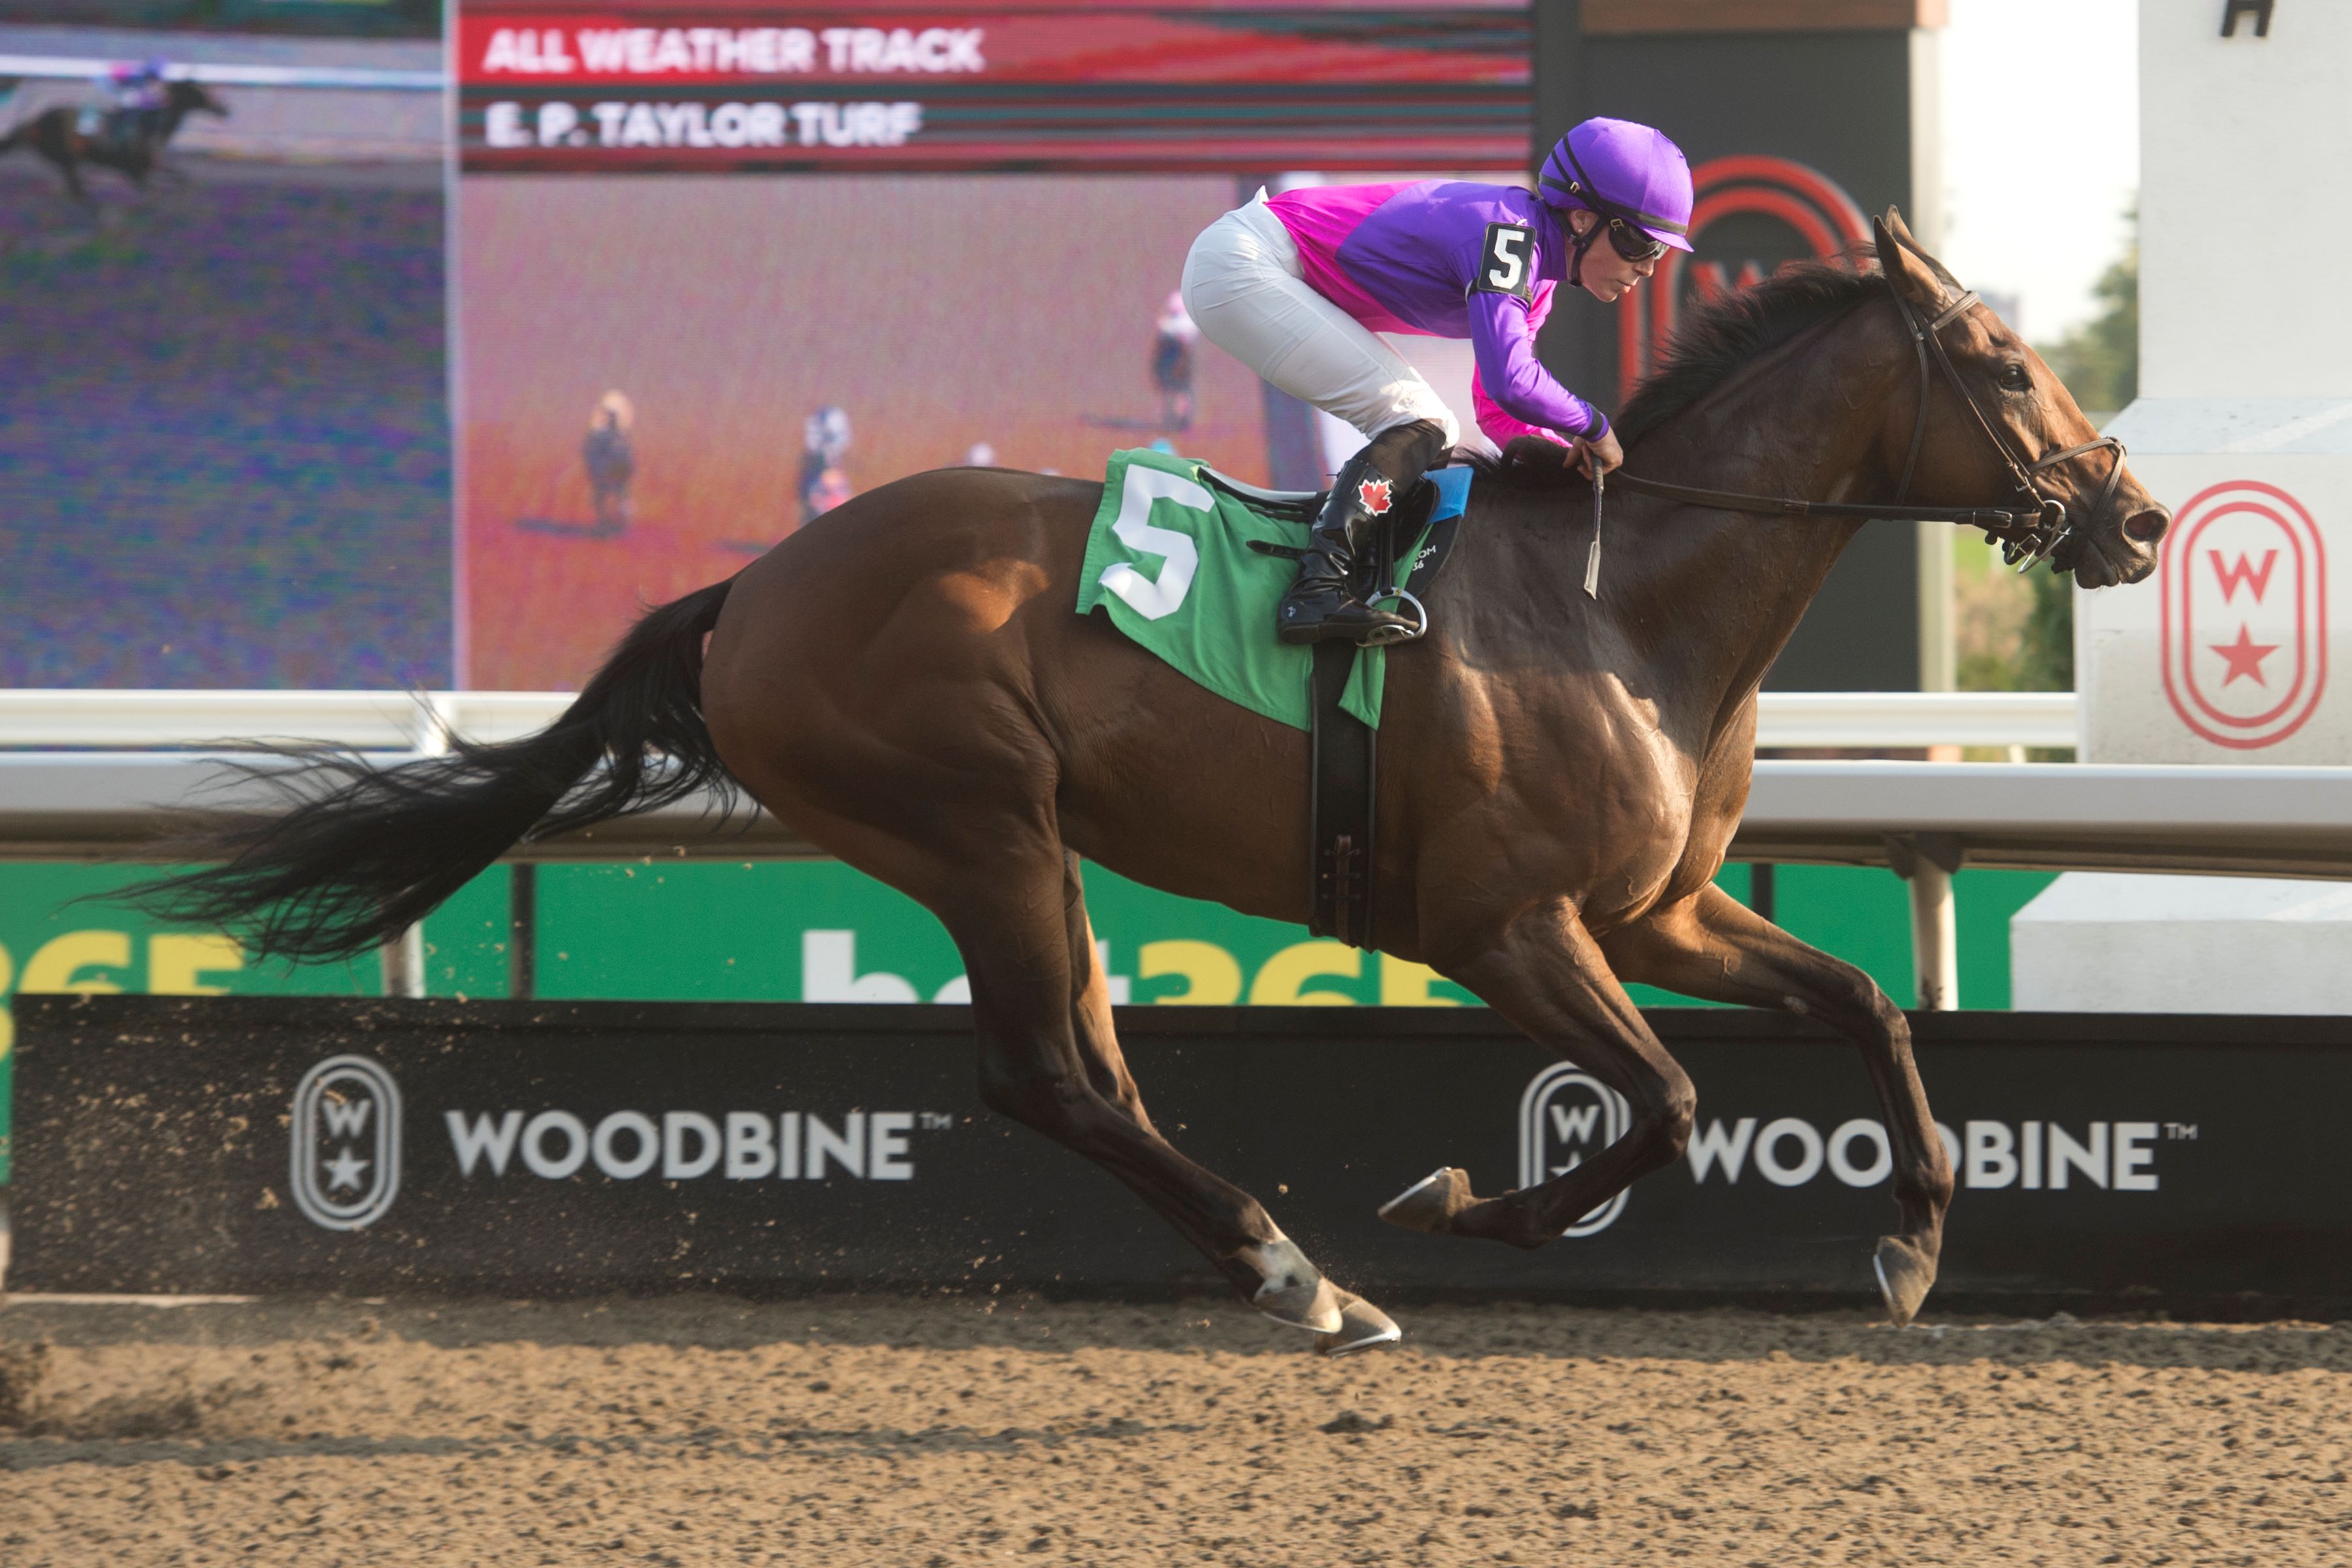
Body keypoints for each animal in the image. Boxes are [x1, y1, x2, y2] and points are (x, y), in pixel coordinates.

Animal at [147, 215, 2164, 1354]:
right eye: (2003, 364)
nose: (2137, 515)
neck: (1627, 604)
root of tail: (755, 589)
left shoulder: (1655, 907)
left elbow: (1866, 1004)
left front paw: (1909, 1243)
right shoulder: (1504, 925)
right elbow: (1662, 1102)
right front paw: (1462, 1203)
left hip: (1027, 848)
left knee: (1089, 1073)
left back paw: (1285, 1266)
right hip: (975, 821)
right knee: (1042, 1073)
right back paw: (1302, 1268)